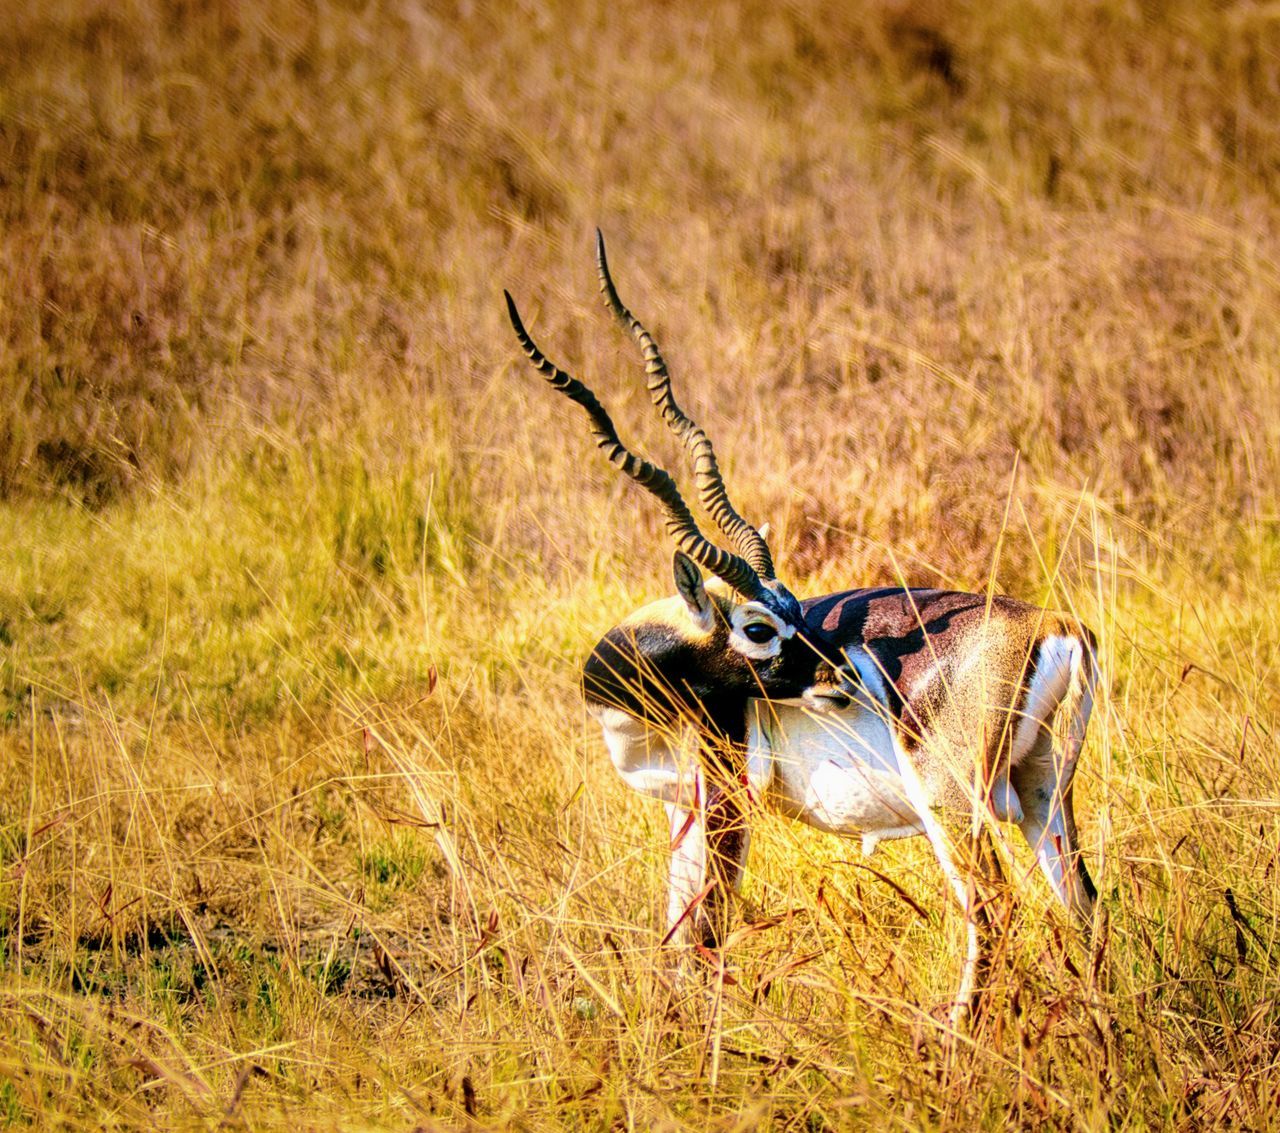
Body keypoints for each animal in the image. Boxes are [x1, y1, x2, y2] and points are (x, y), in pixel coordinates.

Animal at [499, 234, 1100, 1019]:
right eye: (763, 622)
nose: (842, 674)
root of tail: (1057, 625)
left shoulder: (724, 802)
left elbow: (707, 930)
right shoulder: (680, 811)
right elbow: (673, 928)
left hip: (952, 804)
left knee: (995, 911)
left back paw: (948, 1034)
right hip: (1040, 791)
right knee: (1085, 904)